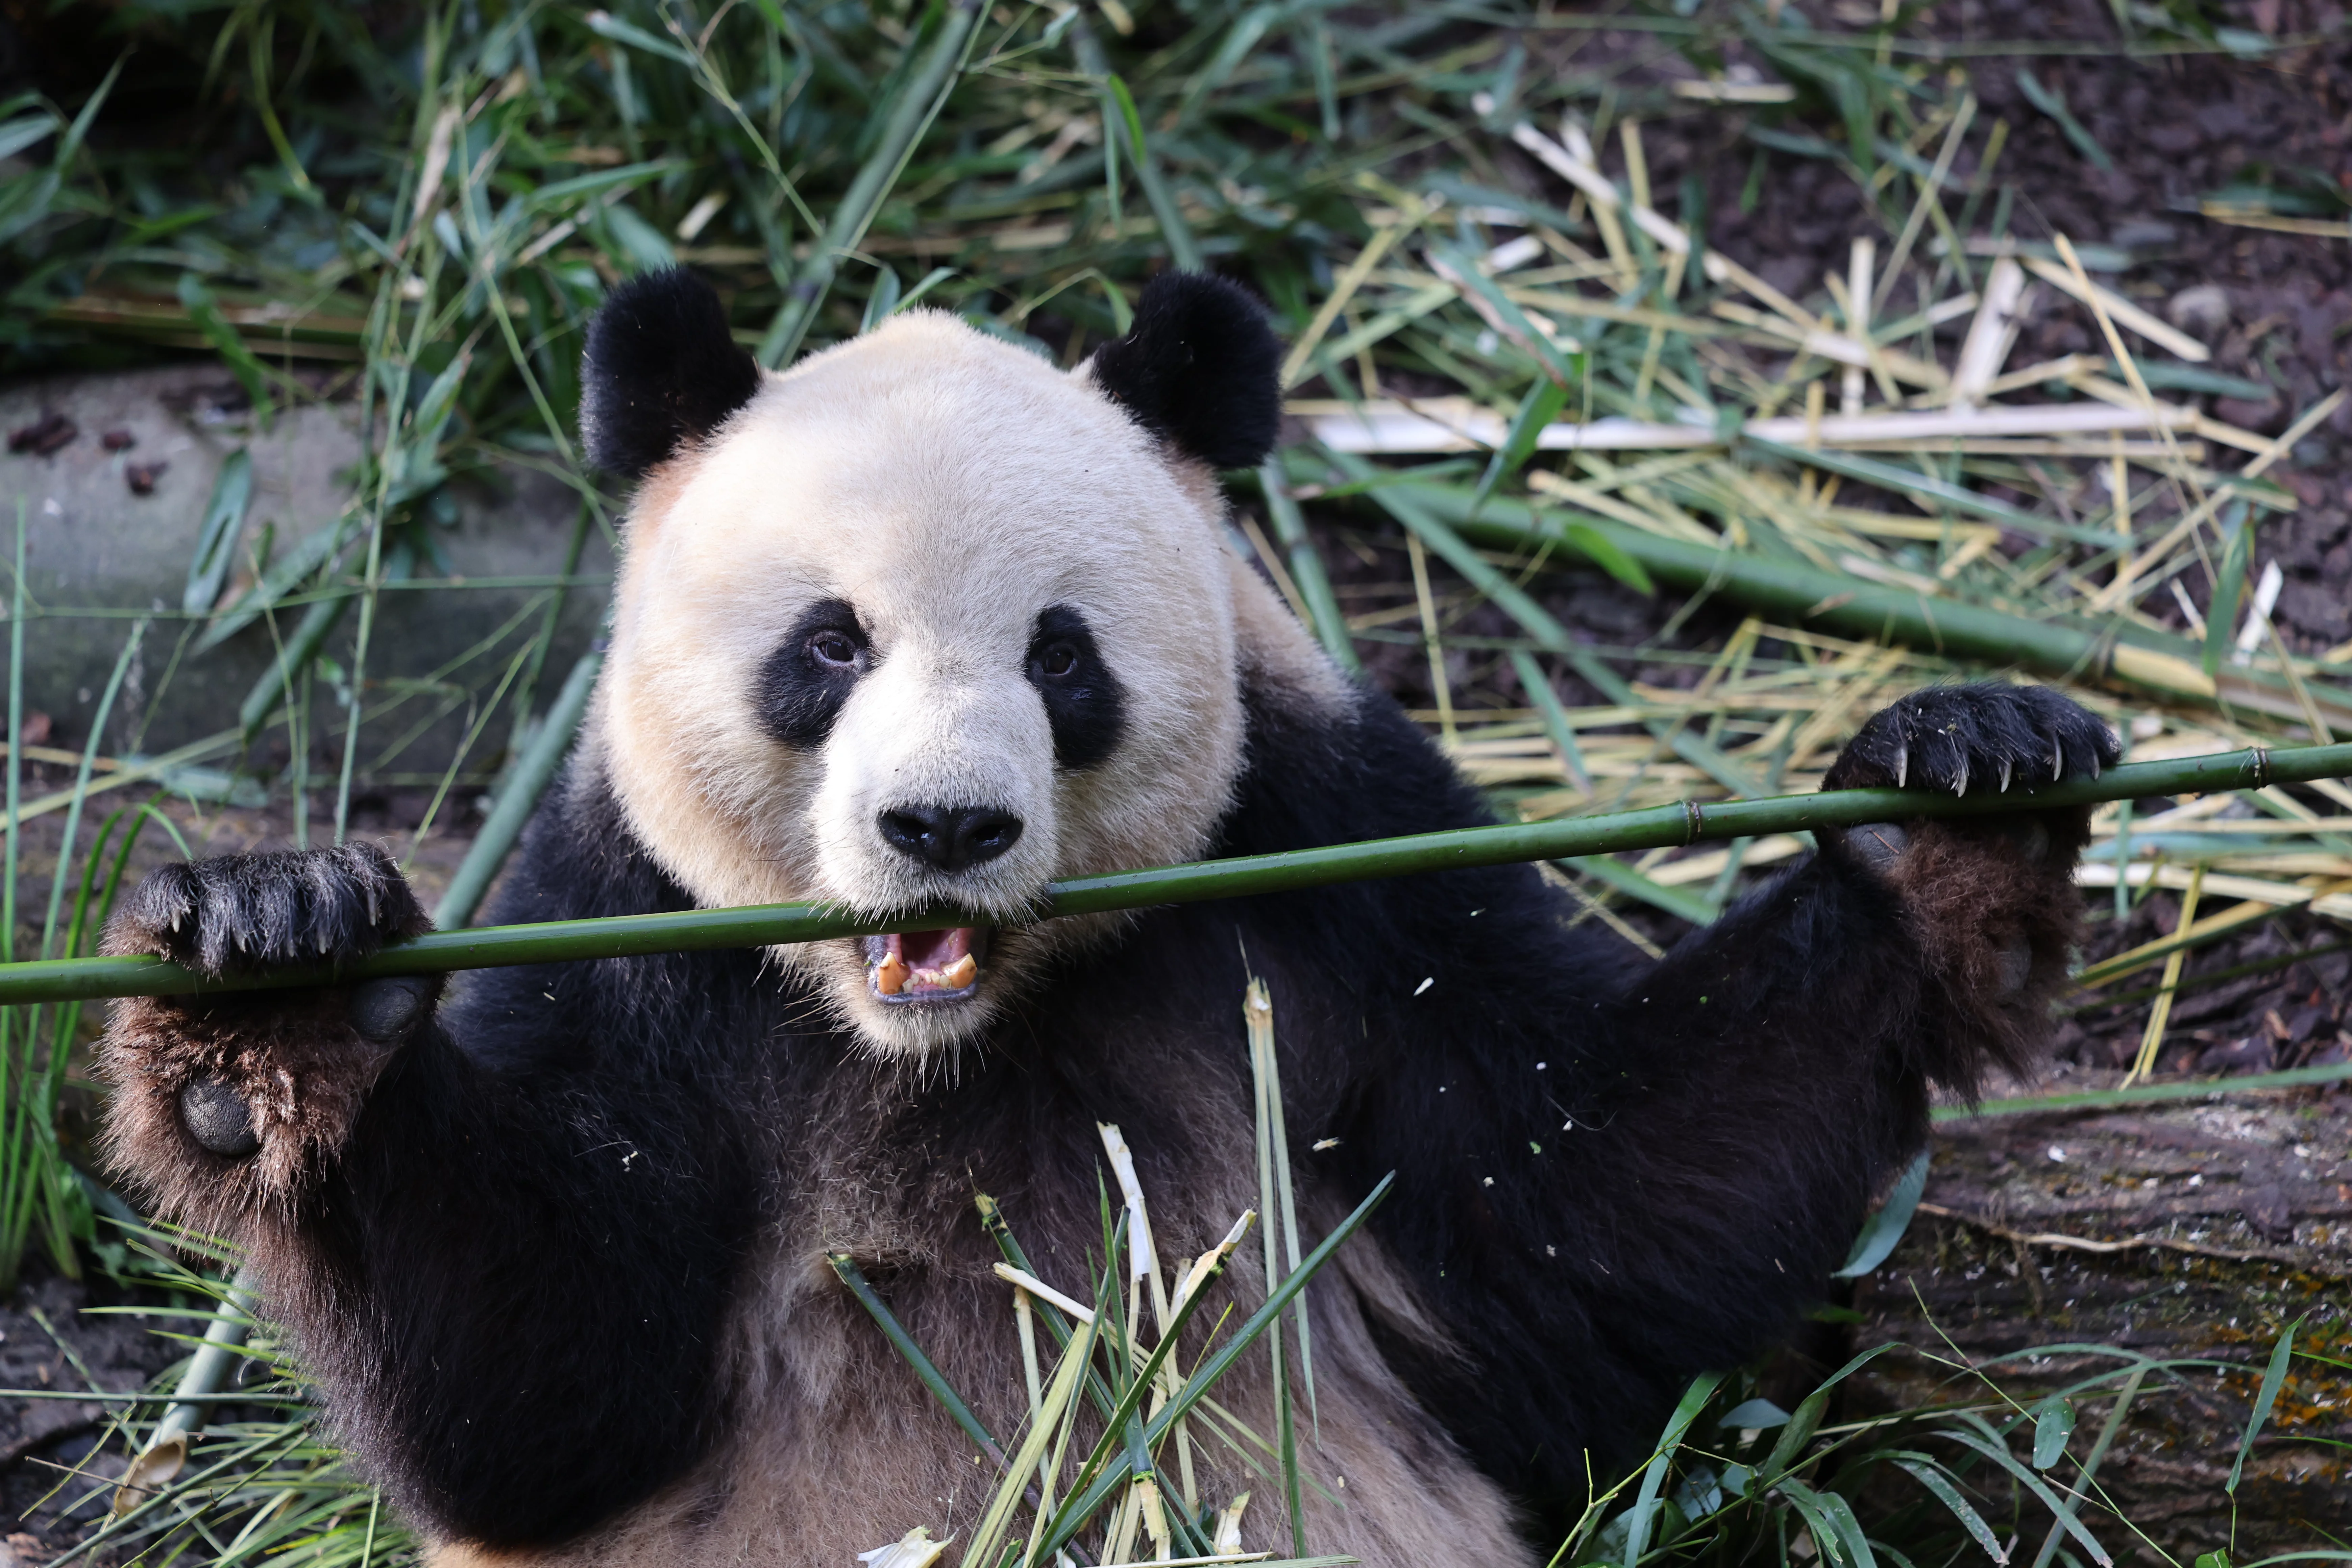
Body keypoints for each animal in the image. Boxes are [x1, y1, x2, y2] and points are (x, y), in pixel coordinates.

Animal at [98, 268, 2116, 1567]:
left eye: (1060, 658)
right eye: (828, 646)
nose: (943, 825)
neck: (944, 1036)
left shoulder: (1334, 870)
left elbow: (1589, 1217)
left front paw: (1956, 789)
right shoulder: (617, 923)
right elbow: (542, 1388)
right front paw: (274, 987)